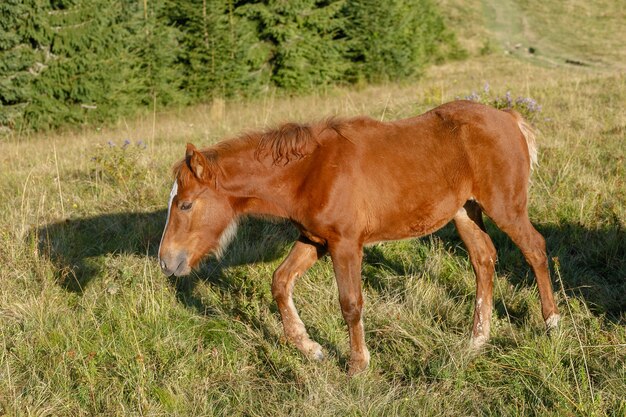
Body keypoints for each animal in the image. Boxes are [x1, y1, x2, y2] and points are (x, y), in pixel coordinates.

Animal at [158, 100, 560, 374]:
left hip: (505, 207)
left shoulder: (345, 244)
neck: (311, 172)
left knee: (535, 249)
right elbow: (280, 282)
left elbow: (350, 303)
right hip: (466, 211)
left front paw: (357, 364)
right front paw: (310, 347)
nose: (166, 261)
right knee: (483, 258)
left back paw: (551, 323)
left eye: (186, 205)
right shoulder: (315, 240)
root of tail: (508, 117)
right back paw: (477, 339)